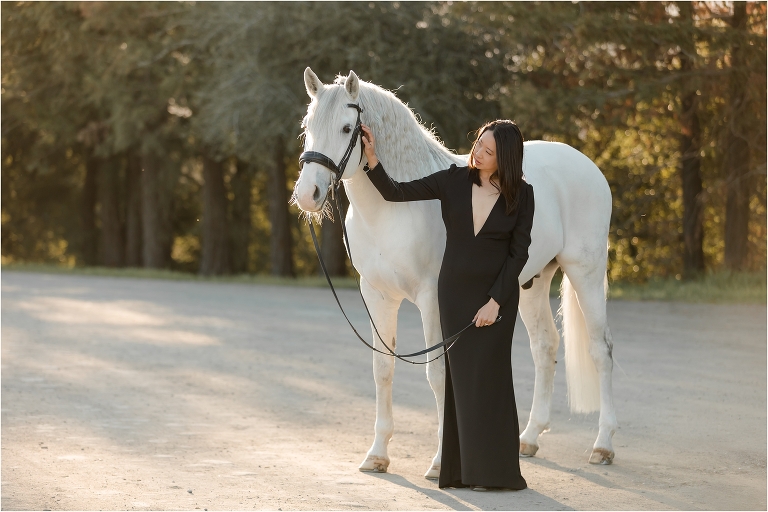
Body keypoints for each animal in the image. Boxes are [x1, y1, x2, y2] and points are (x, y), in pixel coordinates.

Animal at [293, 68, 618, 479]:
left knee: (600, 350)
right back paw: (528, 439)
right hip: (532, 282)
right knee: (546, 346)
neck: (396, 209)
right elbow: (383, 369)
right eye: (308, 126)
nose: (309, 194)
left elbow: (436, 375)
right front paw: (377, 455)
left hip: (585, 271)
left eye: (347, 127)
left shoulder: (432, 299)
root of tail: (587, 165)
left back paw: (603, 445)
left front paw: (437, 463)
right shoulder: (377, 297)